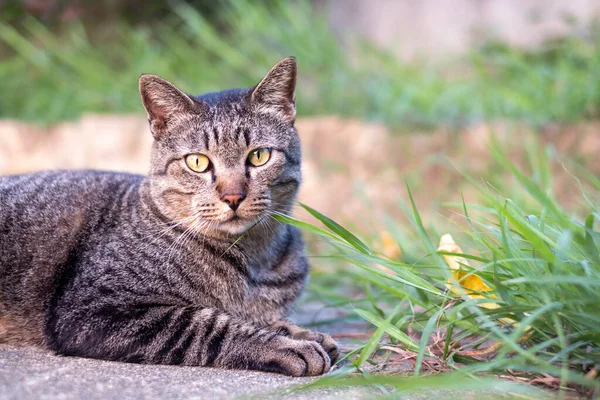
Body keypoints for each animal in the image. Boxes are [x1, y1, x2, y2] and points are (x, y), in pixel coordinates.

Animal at [0, 57, 338, 376]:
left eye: (259, 156)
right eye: (197, 162)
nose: (233, 196)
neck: (254, 259)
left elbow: (255, 316)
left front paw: (297, 331)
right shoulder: (94, 309)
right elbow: (210, 323)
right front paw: (286, 344)